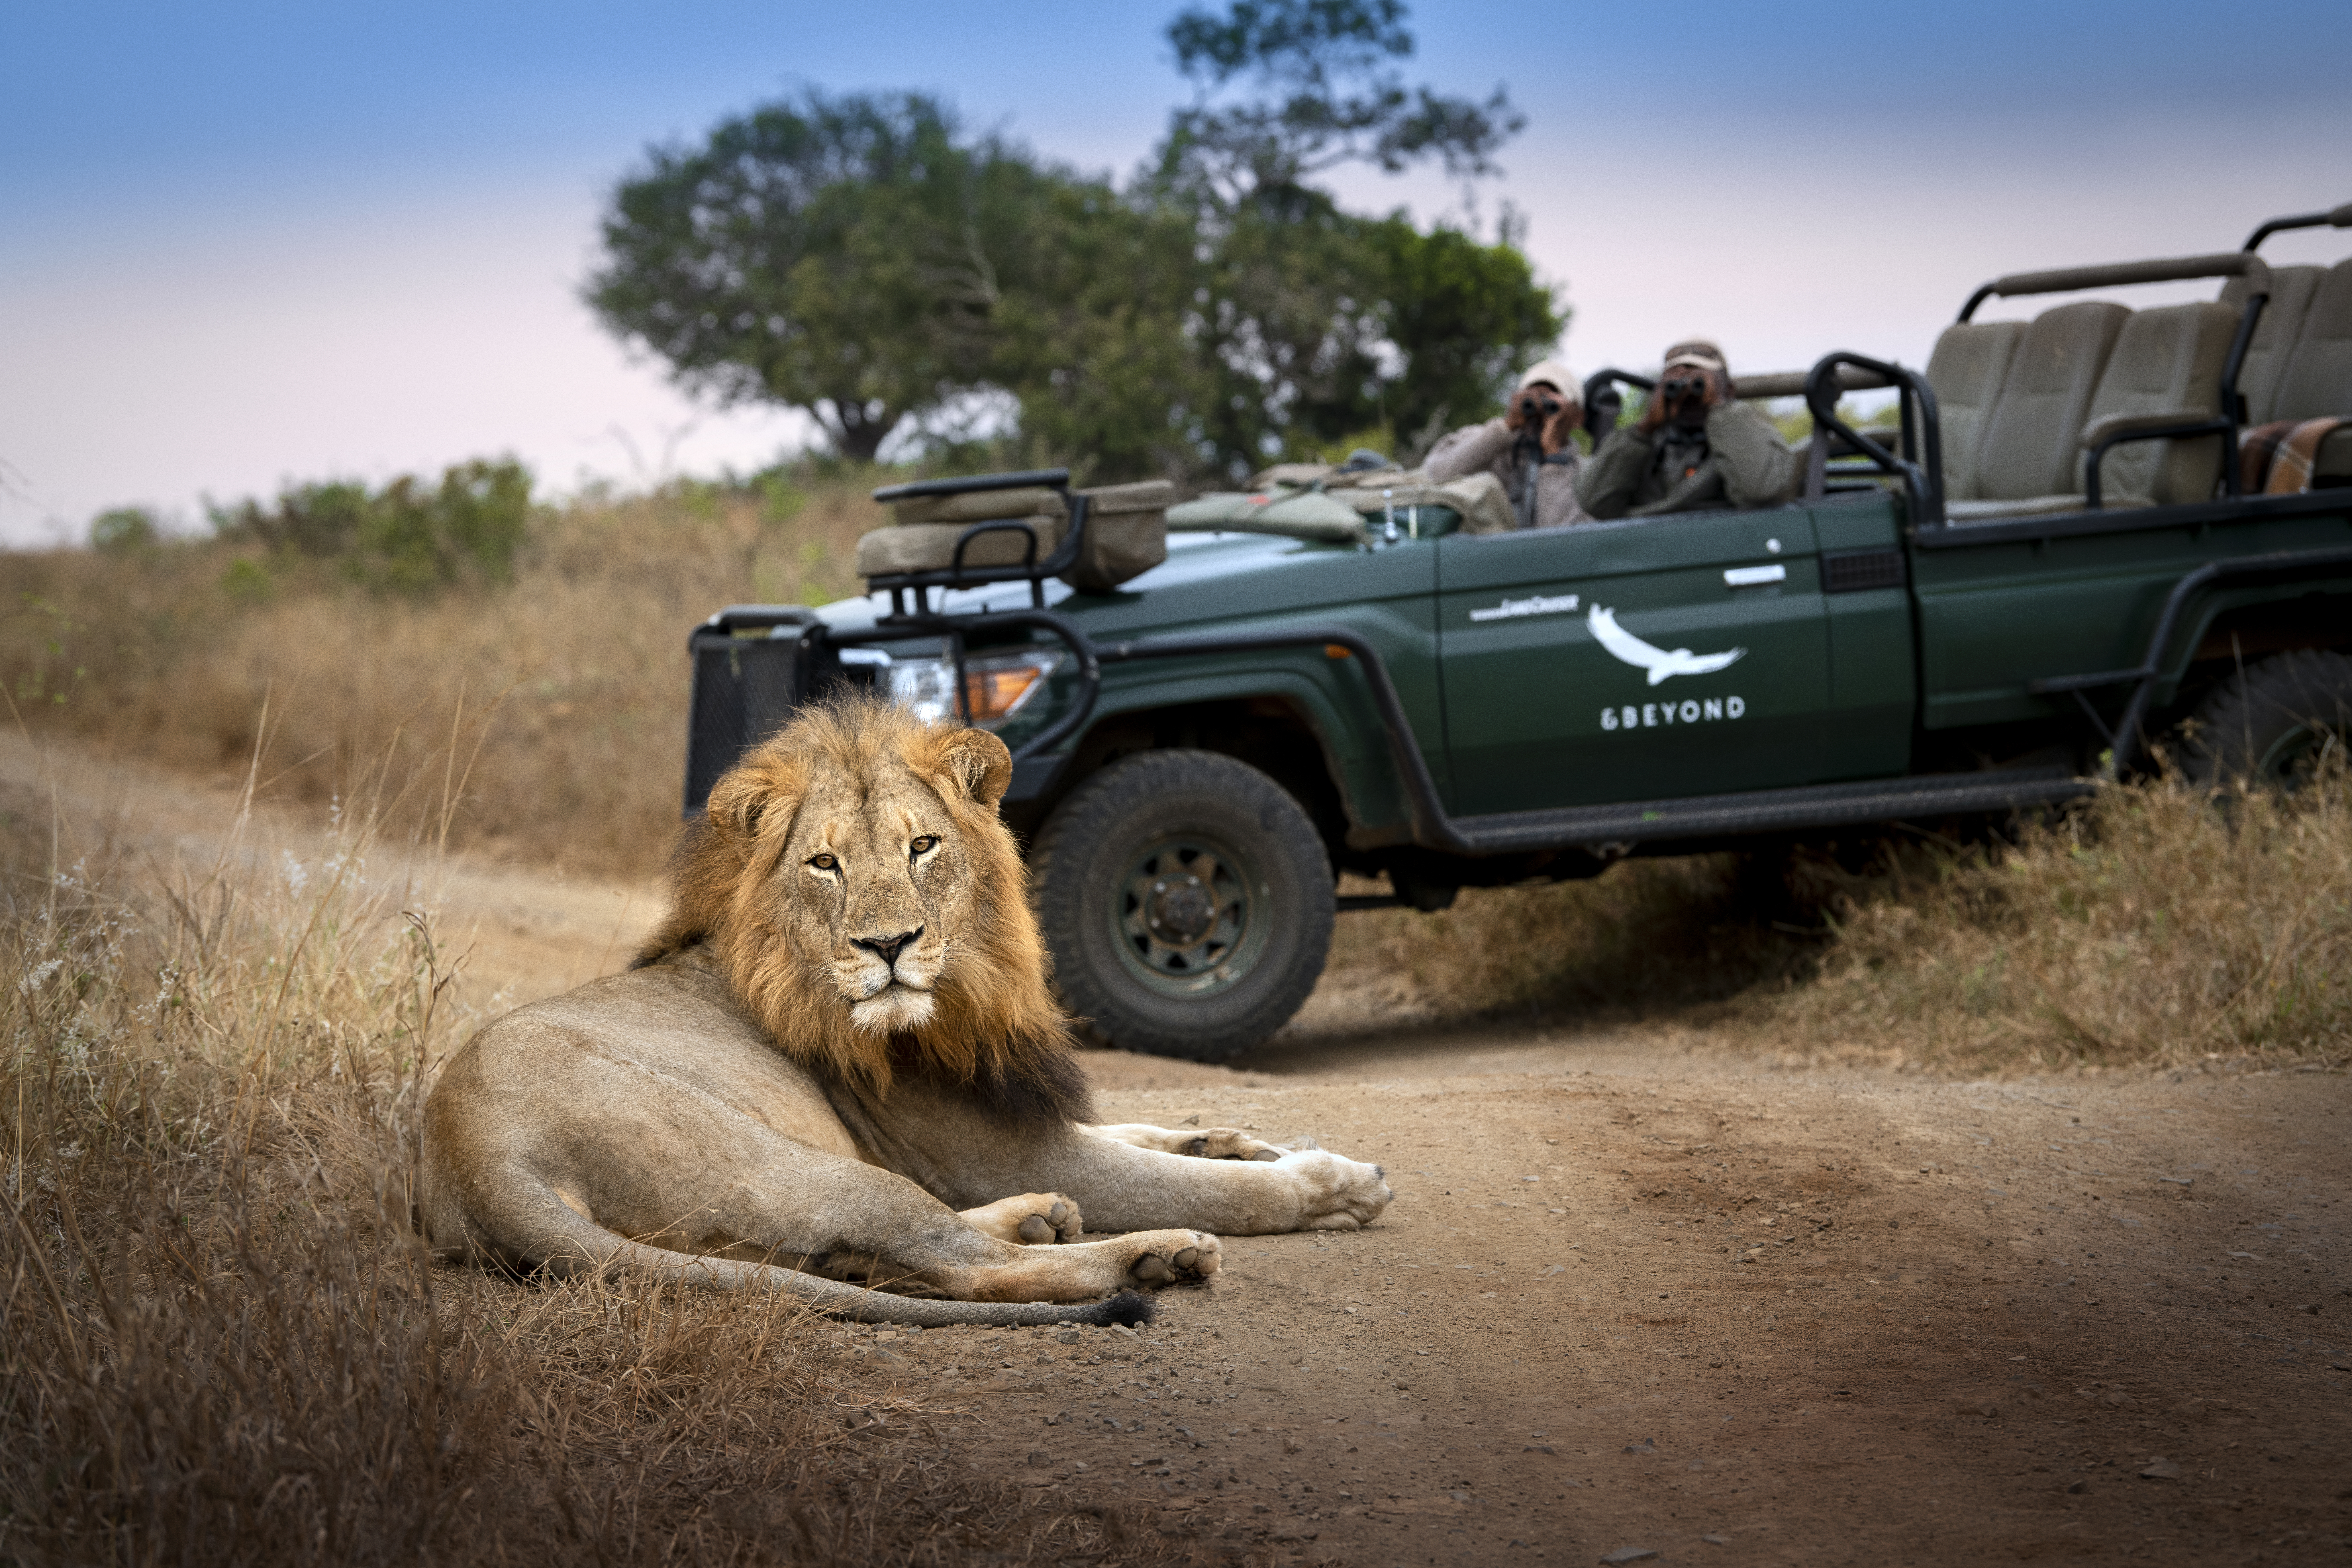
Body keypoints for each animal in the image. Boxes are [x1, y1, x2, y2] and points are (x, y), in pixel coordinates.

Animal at [418, 696, 1391, 1327]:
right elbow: (1204, 1184)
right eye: (825, 864)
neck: (971, 990)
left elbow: (1142, 1129)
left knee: (897, 1254)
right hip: (796, 1166)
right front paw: (1332, 1182)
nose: (888, 944)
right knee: (965, 1269)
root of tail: (472, 1154)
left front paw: (1229, 1134)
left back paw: (1041, 1215)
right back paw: (1152, 1256)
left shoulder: (1023, 1107)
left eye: (922, 846)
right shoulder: (996, 1145)